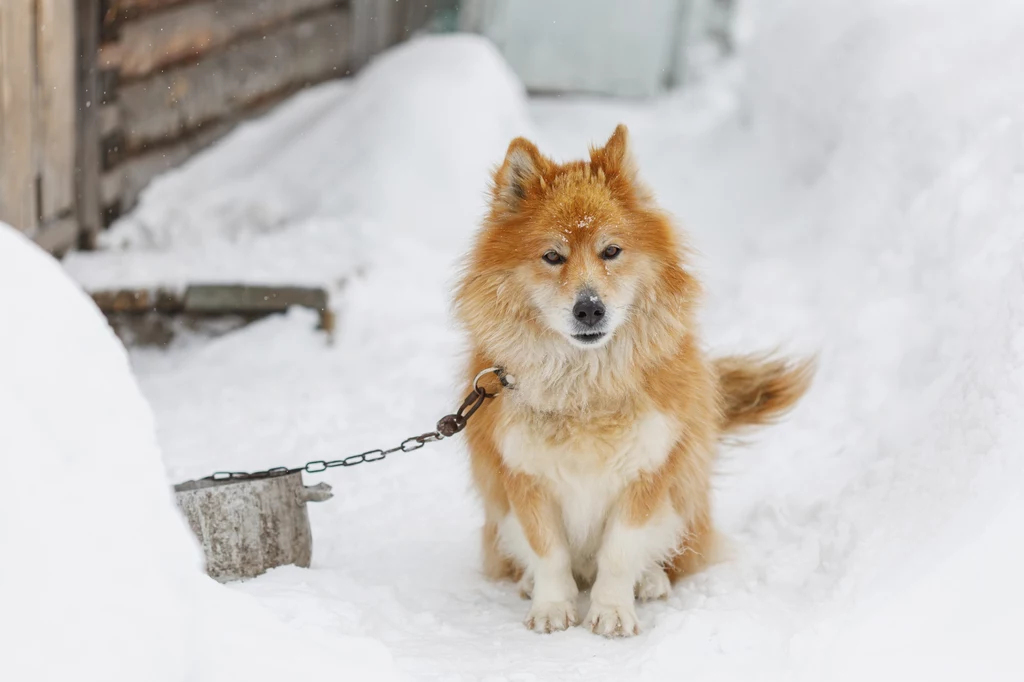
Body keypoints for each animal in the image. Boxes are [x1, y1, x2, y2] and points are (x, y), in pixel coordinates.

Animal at [452, 124, 811, 634]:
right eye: (553, 256)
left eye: (611, 251)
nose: (590, 308)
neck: (585, 388)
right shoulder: (523, 476)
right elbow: (549, 552)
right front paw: (551, 605)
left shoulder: (647, 470)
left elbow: (620, 552)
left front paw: (612, 610)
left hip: (684, 494)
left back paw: (652, 580)